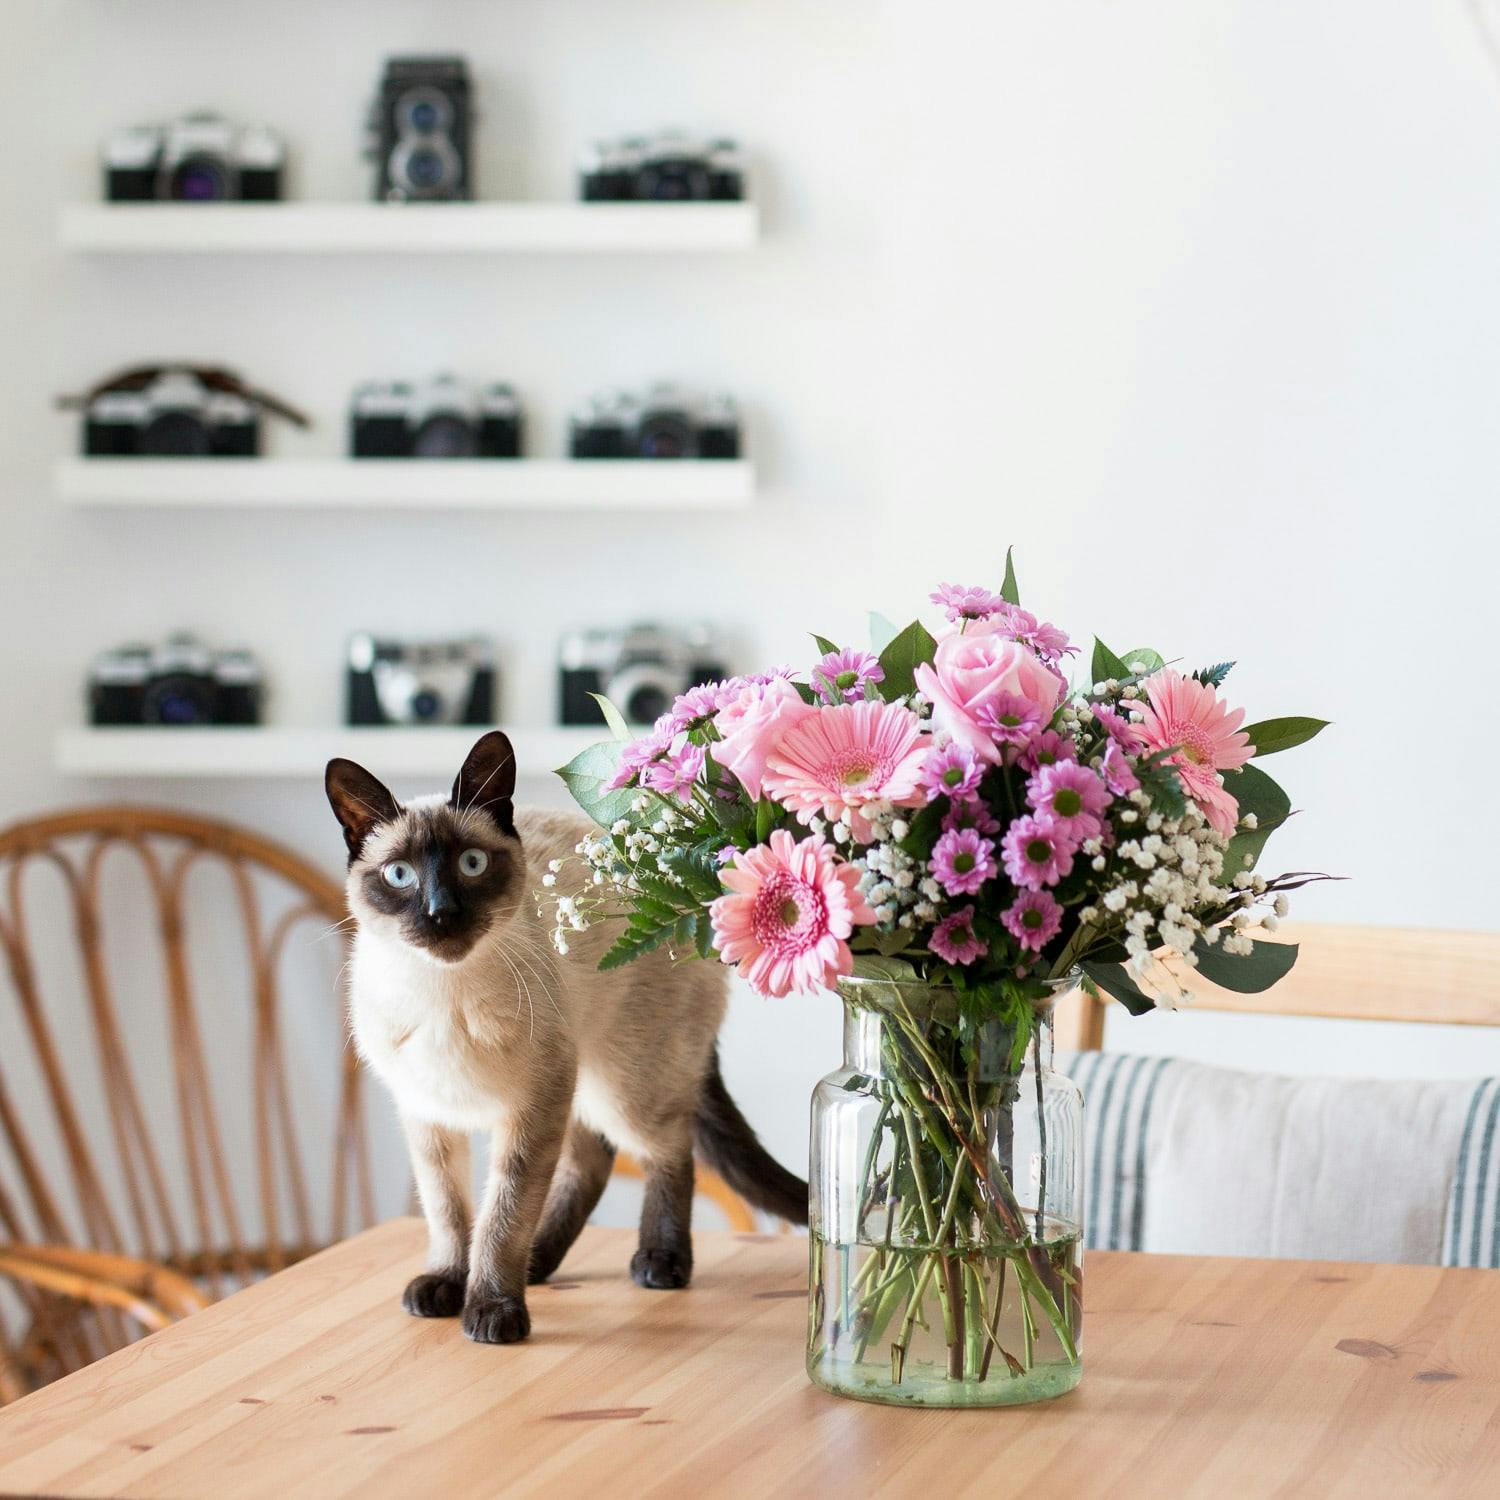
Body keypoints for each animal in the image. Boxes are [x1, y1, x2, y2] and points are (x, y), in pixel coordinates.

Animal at [322, 729, 804, 1350]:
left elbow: (502, 1217)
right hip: (584, 1080)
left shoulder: (531, 1109)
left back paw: (659, 1262)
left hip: (623, 1084)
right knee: (592, 1160)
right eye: (399, 875)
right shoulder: (428, 1116)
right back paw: (540, 1263)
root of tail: (686, 894)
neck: (443, 994)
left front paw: (491, 1309)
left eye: (472, 864)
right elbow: (448, 1212)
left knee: (666, 1149)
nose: (441, 913)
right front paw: (449, 1283)